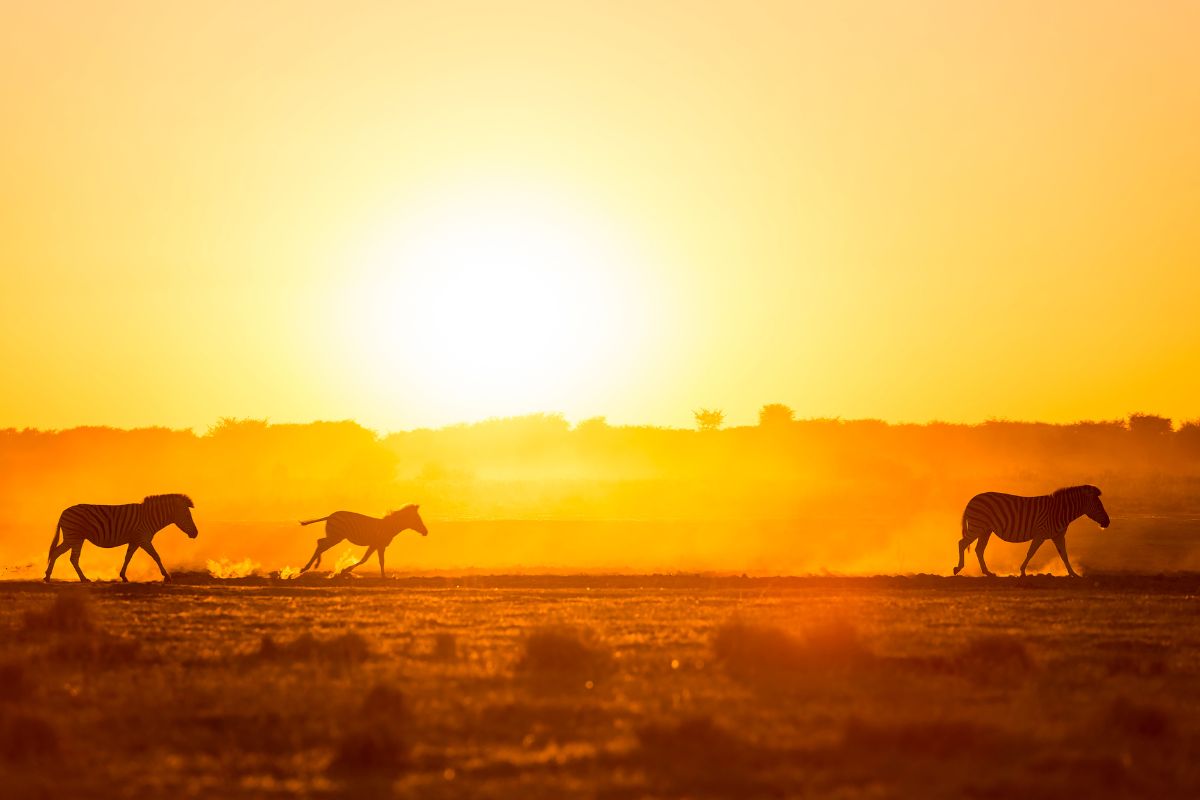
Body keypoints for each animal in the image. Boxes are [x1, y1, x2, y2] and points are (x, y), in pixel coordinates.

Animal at [298, 503, 427, 578]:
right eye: (417, 519)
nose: (426, 532)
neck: (389, 527)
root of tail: (330, 516)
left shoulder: (378, 546)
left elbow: (379, 561)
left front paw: (383, 577)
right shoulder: (377, 544)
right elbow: (366, 560)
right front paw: (345, 570)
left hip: (334, 536)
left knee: (320, 542)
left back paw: (312, 565)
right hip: (336, 536)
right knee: (321, 544)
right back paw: (307, 567)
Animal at [950, 484, 1108, 578]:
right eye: (1099, 506)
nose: (1108, 522)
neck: (1060, 511)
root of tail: (972, 500)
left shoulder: (1058, 536)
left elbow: (1064, 555)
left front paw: (1073, 573)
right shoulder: (1041, 534)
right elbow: (1031, 552)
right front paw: (1022, 571)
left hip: (985, 530)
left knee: (979, 549)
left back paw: (987, 572)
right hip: (978, 526)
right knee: (962, 543)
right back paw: (958, 568)